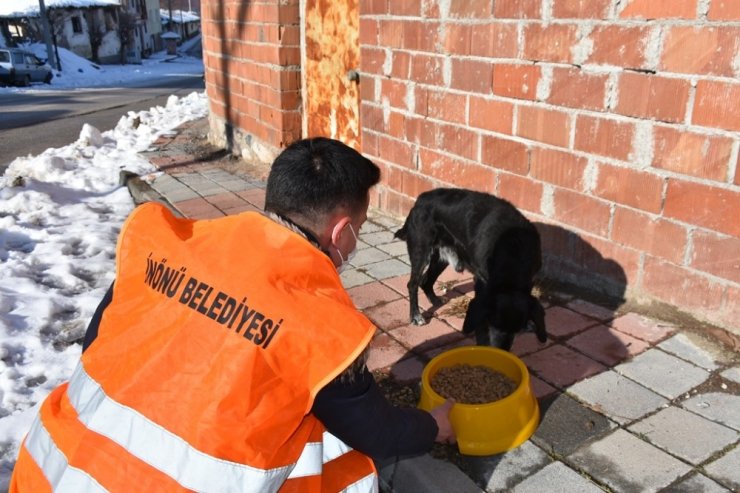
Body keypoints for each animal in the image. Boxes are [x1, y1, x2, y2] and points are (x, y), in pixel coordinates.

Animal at [396, 185, 548, 350]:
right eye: (494, 323)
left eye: (517, 329)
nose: (501, 349)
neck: (514, 251)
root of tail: (421, 199)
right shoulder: (482, 283)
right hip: (421, 252)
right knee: (412, 284)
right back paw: (415, 315)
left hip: (441, 258)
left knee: (426, 281)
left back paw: (435, 300)